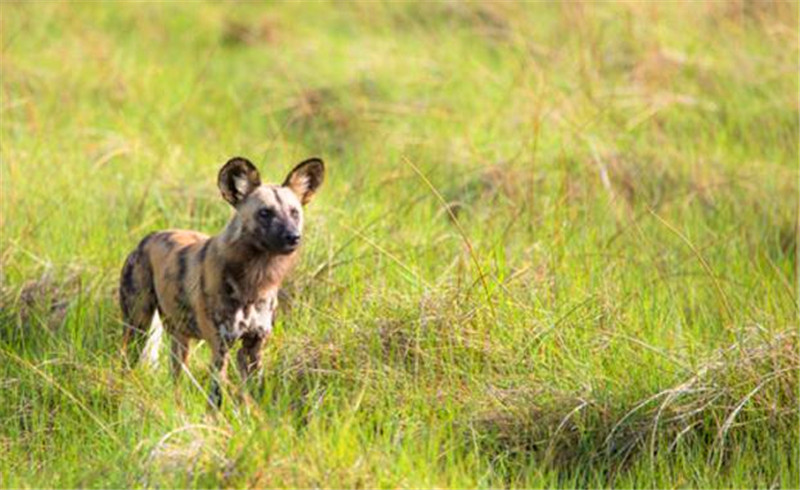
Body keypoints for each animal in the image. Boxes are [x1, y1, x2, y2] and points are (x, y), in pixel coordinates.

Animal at [117, 156, 324, 406]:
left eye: (294, 212)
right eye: (265, 213)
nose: (293, 237)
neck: (254, 280)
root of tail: (147, 238)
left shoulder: (253, 347)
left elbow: (252, 395)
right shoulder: (220, 349)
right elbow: (216, 399)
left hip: (179, 338)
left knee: (176, 376)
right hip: (137, 327)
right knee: (128, 362)